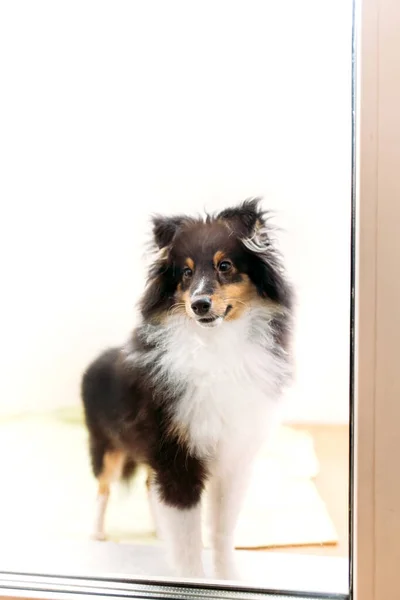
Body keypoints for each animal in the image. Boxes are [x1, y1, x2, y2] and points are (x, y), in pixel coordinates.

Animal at [81, 198, 294, 580]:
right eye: (185, 273)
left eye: (225, 265)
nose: (199, 304)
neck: (217, 345)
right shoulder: (177, 456)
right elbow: (188, 540)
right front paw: (192, 579)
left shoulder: (232, 456)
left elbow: (221, 531)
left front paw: (228, 581)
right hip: (106, 444)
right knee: (103, 488)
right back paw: (96, 533)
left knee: (149, 488)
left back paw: (156, 530)